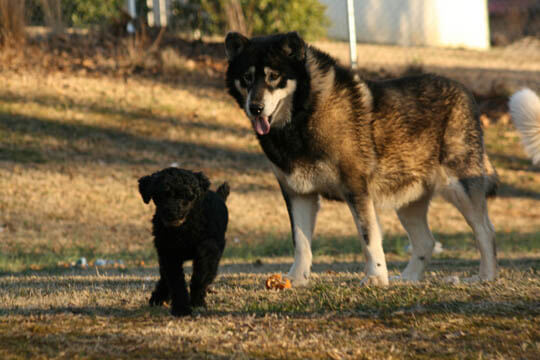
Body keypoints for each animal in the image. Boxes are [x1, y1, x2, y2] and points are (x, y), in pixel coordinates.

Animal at [138, 167, 229, 316]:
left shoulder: (209, 248)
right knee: (164, 278)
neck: (182, 228)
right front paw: (181, 308)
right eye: (162, 195)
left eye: (187, 195)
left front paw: (197, 302)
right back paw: (158, 297)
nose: (172, 212)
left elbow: (200, 276)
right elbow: (176, 281)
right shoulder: (168, 254)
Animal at [224, 31, 498, 286]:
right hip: (407, 201)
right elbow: (301, 242)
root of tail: (466, 93)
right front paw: (297, 279)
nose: (255, 108)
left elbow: (368, 238)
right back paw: (407, 279)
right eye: (247, 78)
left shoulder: (356, 189)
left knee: (485, 231)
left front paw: (376, 277)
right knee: (426, 242)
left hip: (459, 189)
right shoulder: (298, 194)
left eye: (273, 76)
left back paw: (485, 276)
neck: (304, 114)